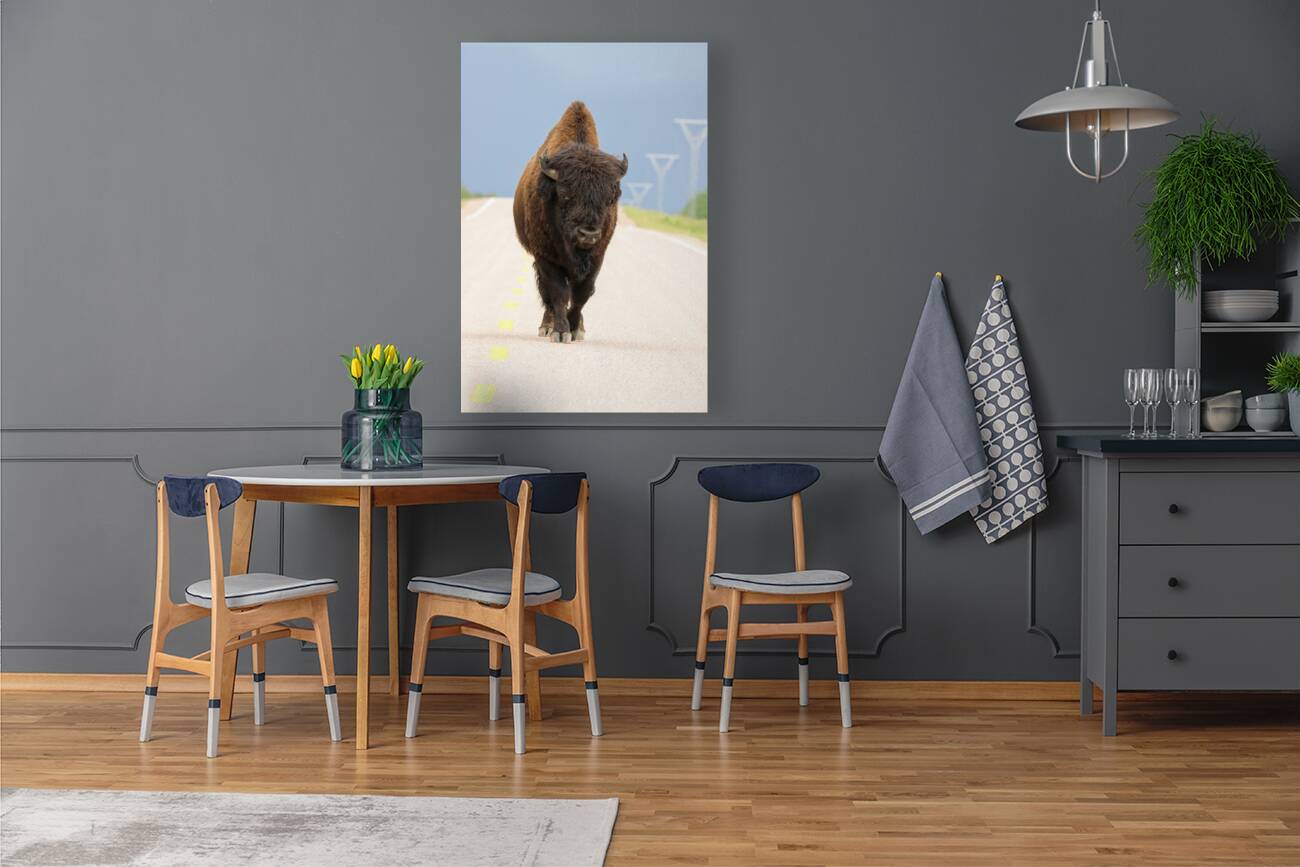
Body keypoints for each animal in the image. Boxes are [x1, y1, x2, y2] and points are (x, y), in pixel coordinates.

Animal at [513, 101, 628, 343]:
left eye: (609, 198)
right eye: (566, 195)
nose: (588, 234)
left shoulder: (597, 256)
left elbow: (582, 293)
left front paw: (575, 329)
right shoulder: (546, 257)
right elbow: (558, 293)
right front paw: (560, 331)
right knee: (547, 294)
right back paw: (546, 327)